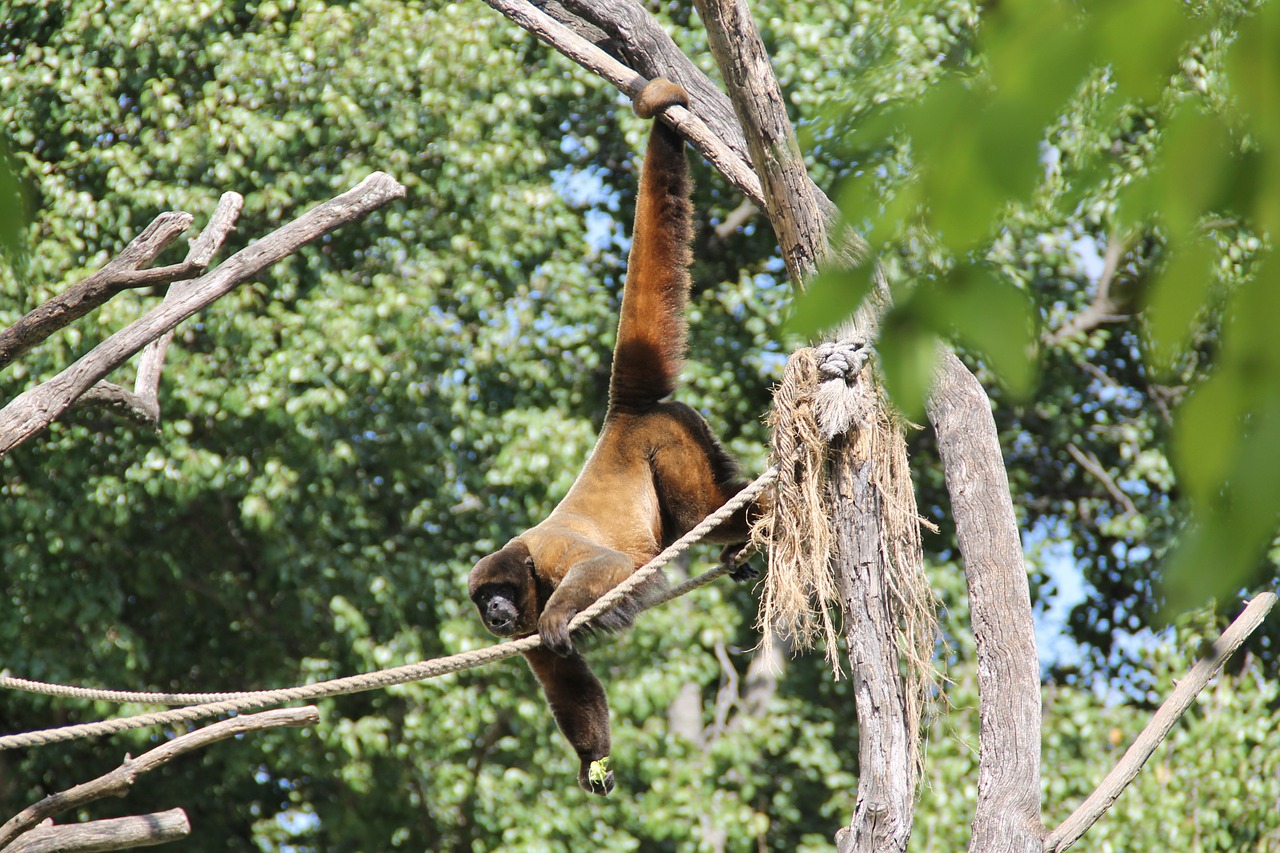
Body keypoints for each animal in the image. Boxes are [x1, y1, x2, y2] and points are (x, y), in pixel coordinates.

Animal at [468, 76, 747, 794]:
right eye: (484, 601)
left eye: (501, 592)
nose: (494, 612)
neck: (526, 578)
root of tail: (622, 414)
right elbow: (564, 679)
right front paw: (594, 760)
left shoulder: (545, 554)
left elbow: (604, 568)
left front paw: (564, 614)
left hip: (671, 436)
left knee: (700, 508)